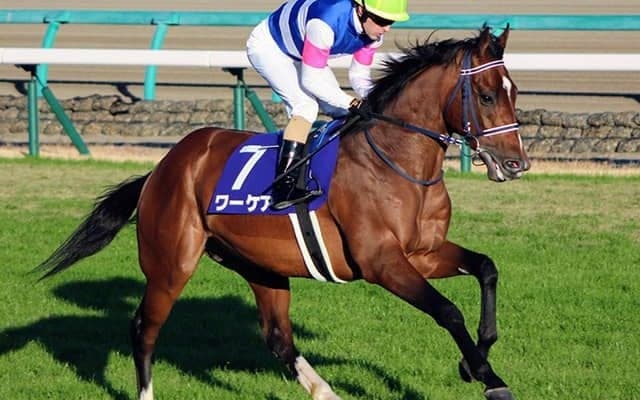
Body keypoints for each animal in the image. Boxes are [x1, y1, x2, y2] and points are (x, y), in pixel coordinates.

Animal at [35, 26, 529, 400]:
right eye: (487, 96)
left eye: (514, 91)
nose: (516, 164)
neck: (397, 160)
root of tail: (164, 166)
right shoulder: (382, 262)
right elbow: (447, 310)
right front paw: (488, 377)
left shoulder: (423, 253)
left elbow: (487, 267)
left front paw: (475, 360)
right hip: (171, 262)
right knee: (144, 328)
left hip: (260, 265)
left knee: (277, 337)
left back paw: (326, 392)